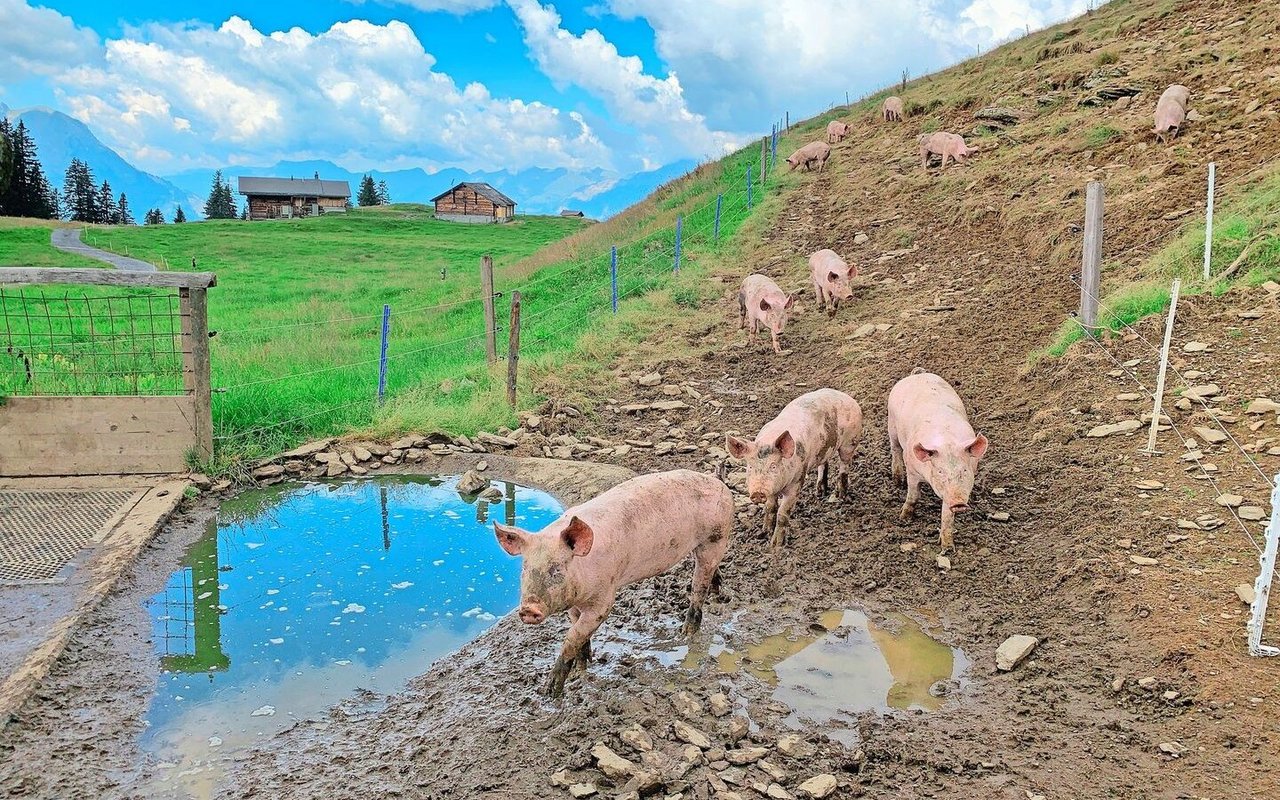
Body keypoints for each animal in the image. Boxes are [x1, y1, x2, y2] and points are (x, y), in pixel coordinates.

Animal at [494, 465, 732, 696]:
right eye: (525, 568)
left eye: (557, 568)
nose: (528, 609)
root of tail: (717, 480)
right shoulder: (574, 605)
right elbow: (578, 633)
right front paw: (582, 667)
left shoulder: (604, 599)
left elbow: (572, 637)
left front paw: (550, 693)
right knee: (710, 570)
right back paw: (717, 591)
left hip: (716, 537)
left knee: (699, 585)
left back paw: (687, 632)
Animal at [727, 389, 865, 552]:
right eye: (750, 467)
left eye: (773, 466)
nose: (758, 493)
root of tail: (847, 397)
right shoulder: (771, 490)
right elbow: (770, 507)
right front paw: (764, 532)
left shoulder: (798, 481)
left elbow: (783, 513)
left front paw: (776, 546)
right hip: (824, 449)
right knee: (823, 464)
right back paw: (820, 493)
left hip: (850, 442)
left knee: (844, 467)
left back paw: (841, 497)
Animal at [890, 366, 988, 547]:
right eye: (940, 471)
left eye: (964, 471)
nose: (958, 502)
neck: (946, 441)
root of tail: (918, 374)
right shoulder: (912, 470)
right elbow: (913, 495)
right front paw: (903, 518)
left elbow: (947, 515)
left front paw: (947, 547)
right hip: (891, 424)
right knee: (895, 449)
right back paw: (897, 481)